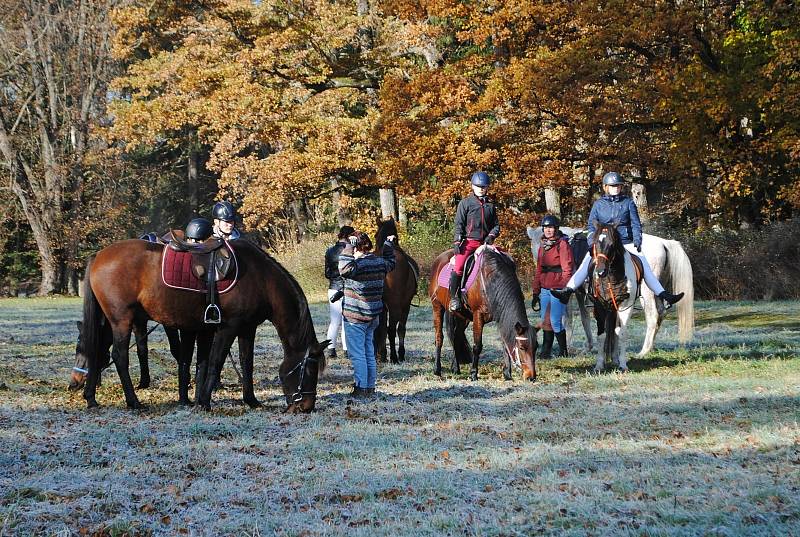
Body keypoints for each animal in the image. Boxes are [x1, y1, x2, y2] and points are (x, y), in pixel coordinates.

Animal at [81, 239, 328, 410]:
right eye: (310, 369)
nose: (307, 407)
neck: (261, 279)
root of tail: (98, 255)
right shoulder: (228, 328)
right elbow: (216, 361)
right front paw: (206, 402)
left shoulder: (247, 329)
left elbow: (245, 363)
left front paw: (251, 400)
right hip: (122, 321)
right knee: (119, 356)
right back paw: (133, 401)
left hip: (107, 322)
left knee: (96, 351)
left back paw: (91, 398)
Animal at [374, 216, 418, 362]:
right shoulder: (406, 305)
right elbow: (401, 329)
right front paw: (401, 353)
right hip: (395, 306)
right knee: (392, 329)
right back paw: (393, 356)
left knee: (382, 329)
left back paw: (382, 355)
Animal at [428, 247, 536, 382]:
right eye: (522, 347)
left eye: (536, 347)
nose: (531, 377)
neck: (490, 279)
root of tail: (438, 260)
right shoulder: (478, 315)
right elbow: (477, 346)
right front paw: (473, 373)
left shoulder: (500, 316)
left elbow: (505, 344)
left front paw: (507, 374)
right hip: (437, 307)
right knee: (439, 337)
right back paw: (437, 369)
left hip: (462, 316)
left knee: (456, 337)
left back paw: (455, 368)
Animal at [528, 223, 692, 356]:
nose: (539, 262)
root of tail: (663, 243)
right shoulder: (581, 294)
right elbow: (584, 318)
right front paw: (589, 346)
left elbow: (567, 319)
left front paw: (568, 346)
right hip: (657, 291)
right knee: (661, 313)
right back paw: (649, 348)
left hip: (647, 292)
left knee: (653, 316)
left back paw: (643, 351)